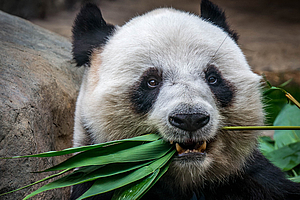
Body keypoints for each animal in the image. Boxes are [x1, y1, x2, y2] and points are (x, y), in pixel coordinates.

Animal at [69, 0, 300, 199]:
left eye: (213, 78)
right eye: (151, 81)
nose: (190, 119)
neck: (188, 178)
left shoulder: (247, 177)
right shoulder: (103, 181)